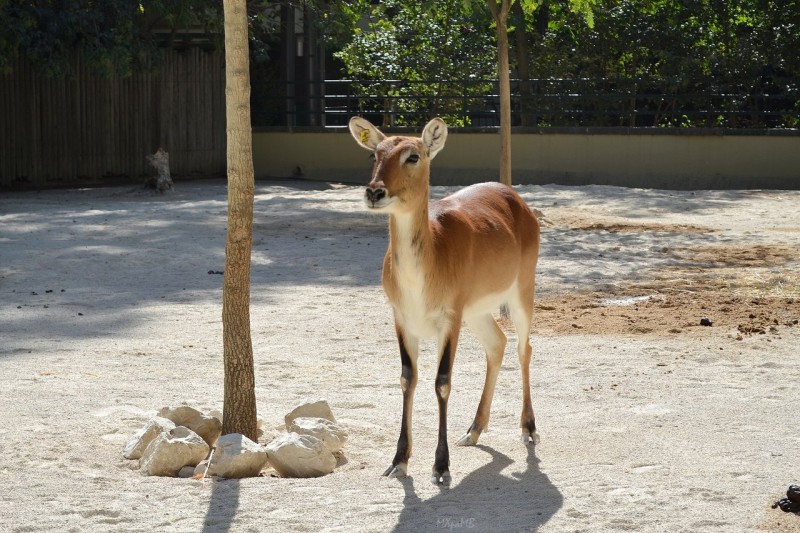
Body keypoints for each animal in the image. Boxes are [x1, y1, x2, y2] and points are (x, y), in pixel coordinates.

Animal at [346, 117, 540, 486]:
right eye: (374, 154)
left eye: (413, 155)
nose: (375, 192)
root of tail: (516, 199)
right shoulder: (402, 318)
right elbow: (408, 378)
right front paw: (398, 461)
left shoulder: (449, 317)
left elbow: (443, 382)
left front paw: (441, 467)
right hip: (477, 311)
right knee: (497, 343)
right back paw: (473, 430)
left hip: (522, 289)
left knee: (524, 348)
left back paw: (529, 429)